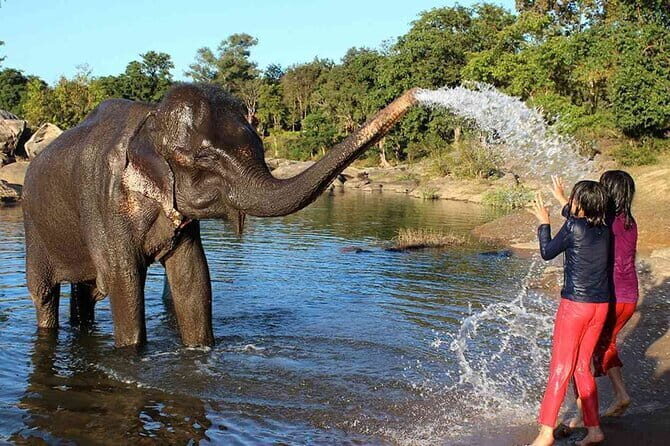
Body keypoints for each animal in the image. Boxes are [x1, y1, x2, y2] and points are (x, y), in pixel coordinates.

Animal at [22, 83, 418, 348]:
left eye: (261, 147)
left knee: (86, 290)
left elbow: (193, 277)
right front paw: (134, 353)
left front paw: (200, 351)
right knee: (44, 294)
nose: (416, 94)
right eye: (205, 159)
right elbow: (124, 280)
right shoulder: (104, 200)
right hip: (34, 228)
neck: (150, 121)